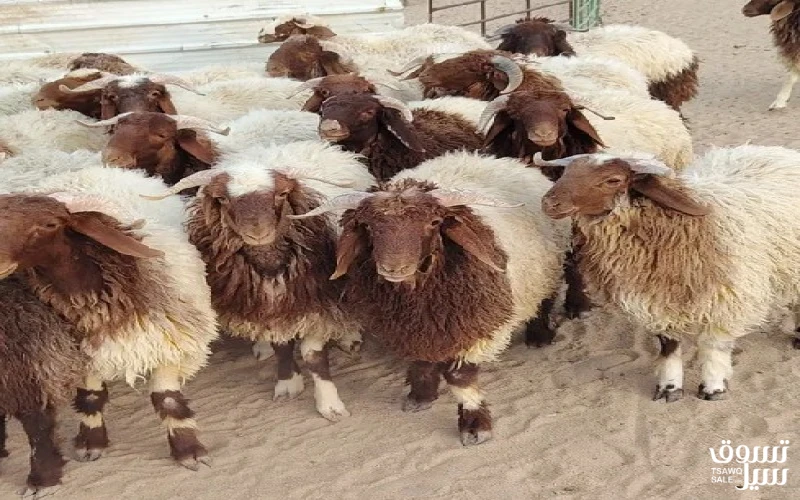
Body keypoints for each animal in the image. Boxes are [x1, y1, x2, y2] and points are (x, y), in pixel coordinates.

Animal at [0, 167, 218, 468]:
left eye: (49, 224)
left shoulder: (169, 343)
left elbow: (167, 400)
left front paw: (188, 449)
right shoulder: (84, 354)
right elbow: (91, 397)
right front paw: (91, 441)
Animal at [140, 140, 375, 421]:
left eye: (282, 194)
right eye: (222, 198)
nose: (257, 231)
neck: (270, 267)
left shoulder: (318, 302)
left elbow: (312, 355)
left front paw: (329, 404)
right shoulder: (266, 307)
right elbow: (281, 346)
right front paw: (288, 382)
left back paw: (350, 336)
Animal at [290, 151, 570, 445]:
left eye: (434, 223)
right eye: (367, 225)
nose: (393, 268)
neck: (421, 298)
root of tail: (495, 159)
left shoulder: (478, 327)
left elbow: (460, 377)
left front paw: (474, 423)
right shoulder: (413, 327)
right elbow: (422, 359)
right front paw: (421, 395)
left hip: (549, 268)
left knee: (546, 299)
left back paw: (539, 336)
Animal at [534, 144, 800, 401]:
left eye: (613, 180)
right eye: (566, 173)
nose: (549, 204)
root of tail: (776, 150)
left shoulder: (727, 296)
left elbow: (713, 345)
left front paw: (713, 388)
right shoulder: (657, 301)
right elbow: (669, 345)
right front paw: (669, 388)